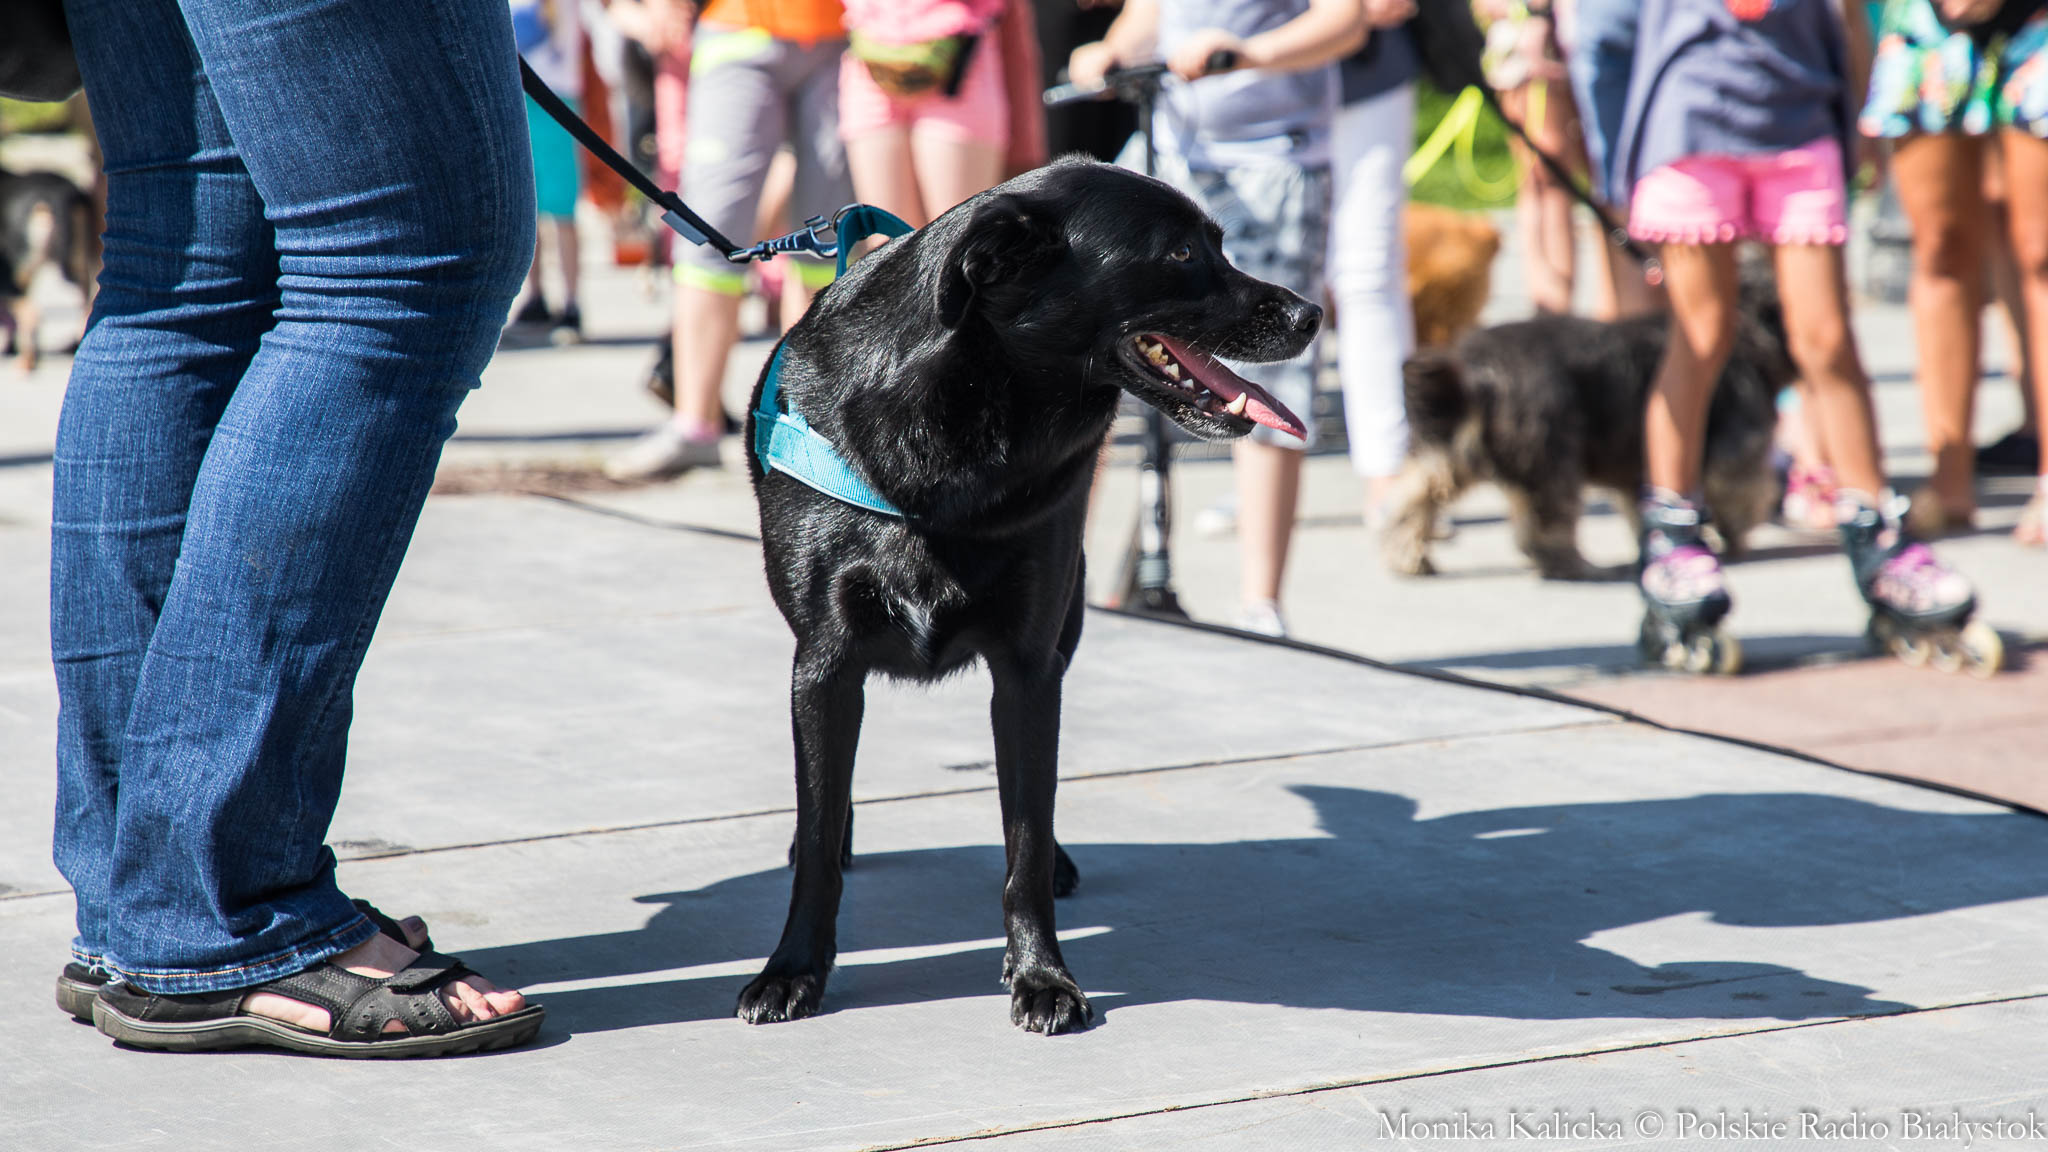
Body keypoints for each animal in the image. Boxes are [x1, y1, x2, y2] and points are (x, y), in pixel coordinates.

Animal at [739, 157, 1318, 1034]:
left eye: (1219, 243)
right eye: (1183, 253)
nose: (1312, 313)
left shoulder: (1028, 668)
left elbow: (1027, 841)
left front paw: (1043, 976)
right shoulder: (824, 664)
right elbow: (817, 838)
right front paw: (794, 969)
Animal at [1383, 299, 1787, 580]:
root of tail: (1476, 369)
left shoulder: (1638, 464)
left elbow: (1645, 505)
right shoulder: (1738, 443)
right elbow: (1742, 492)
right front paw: (1733, 538)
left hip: (1457, 450)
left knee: (1411, 496)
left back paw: (1408, 557)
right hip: (1550, 453)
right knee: (1547, 526)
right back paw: (1581, 567)